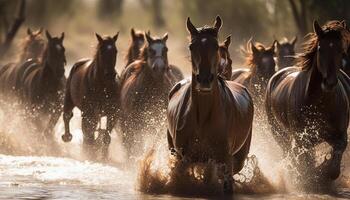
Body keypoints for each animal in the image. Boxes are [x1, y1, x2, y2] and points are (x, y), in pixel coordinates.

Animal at [167, 16, 253, 195]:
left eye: (215, 45)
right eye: (191, 46)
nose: (205, 79)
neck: (203, 116)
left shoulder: (225, 161)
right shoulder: (182, 158)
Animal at [266, 20, 350, 188]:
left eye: (341, 50)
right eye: (320, 48)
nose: (330, 83)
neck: (320, 103)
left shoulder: (340, 136)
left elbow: (334, 168)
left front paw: (322, 172)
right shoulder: (301, 139)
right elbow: (302, 162)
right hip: (278, 132)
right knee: (288, 152)